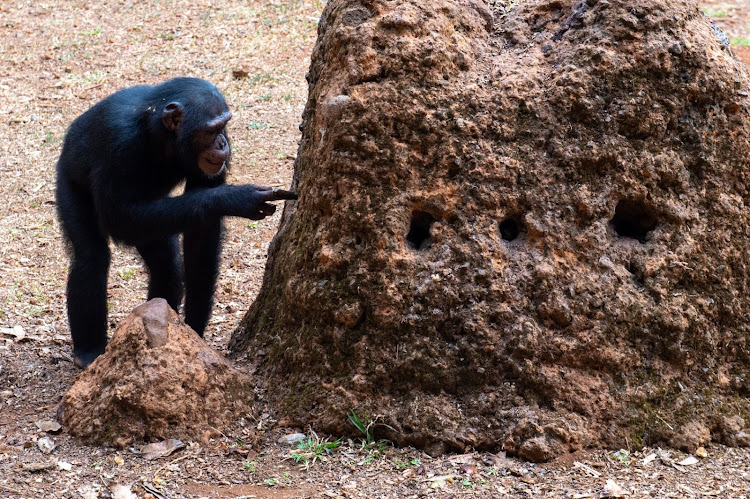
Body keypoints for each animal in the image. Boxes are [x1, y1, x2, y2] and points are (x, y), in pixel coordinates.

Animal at [56, 77, 296, 368]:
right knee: (91, 258)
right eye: (211, 130)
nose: (222, 143)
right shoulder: (118, 144)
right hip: (68, 178)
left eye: (224, 126)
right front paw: (235, 198)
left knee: (166, 263)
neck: (159, 134)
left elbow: (201, 237)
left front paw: (194, 330)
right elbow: (118, 217)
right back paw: (89, 350)